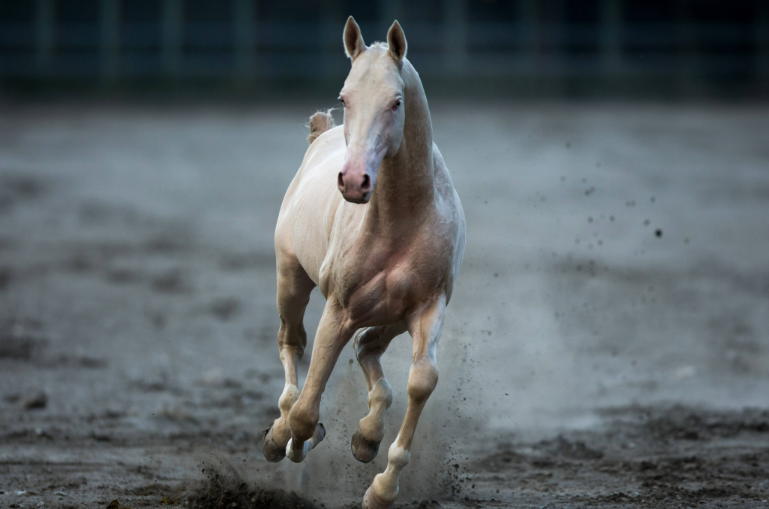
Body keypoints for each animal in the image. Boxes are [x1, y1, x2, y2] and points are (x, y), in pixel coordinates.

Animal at [260, 15, 464, 508]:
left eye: (396, 101)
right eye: (344, 97)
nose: (354, 181)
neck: (400, 219)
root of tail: (321, 135)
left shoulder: (428, 307)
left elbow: (421, 381)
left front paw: (381, 487)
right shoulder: (339, 310)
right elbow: (307, 407)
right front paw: (292, 439)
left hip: (392, 316)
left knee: (367, 346)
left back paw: (367, 436)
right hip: (291, 280)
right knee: (292, 344)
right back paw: (281, 434)